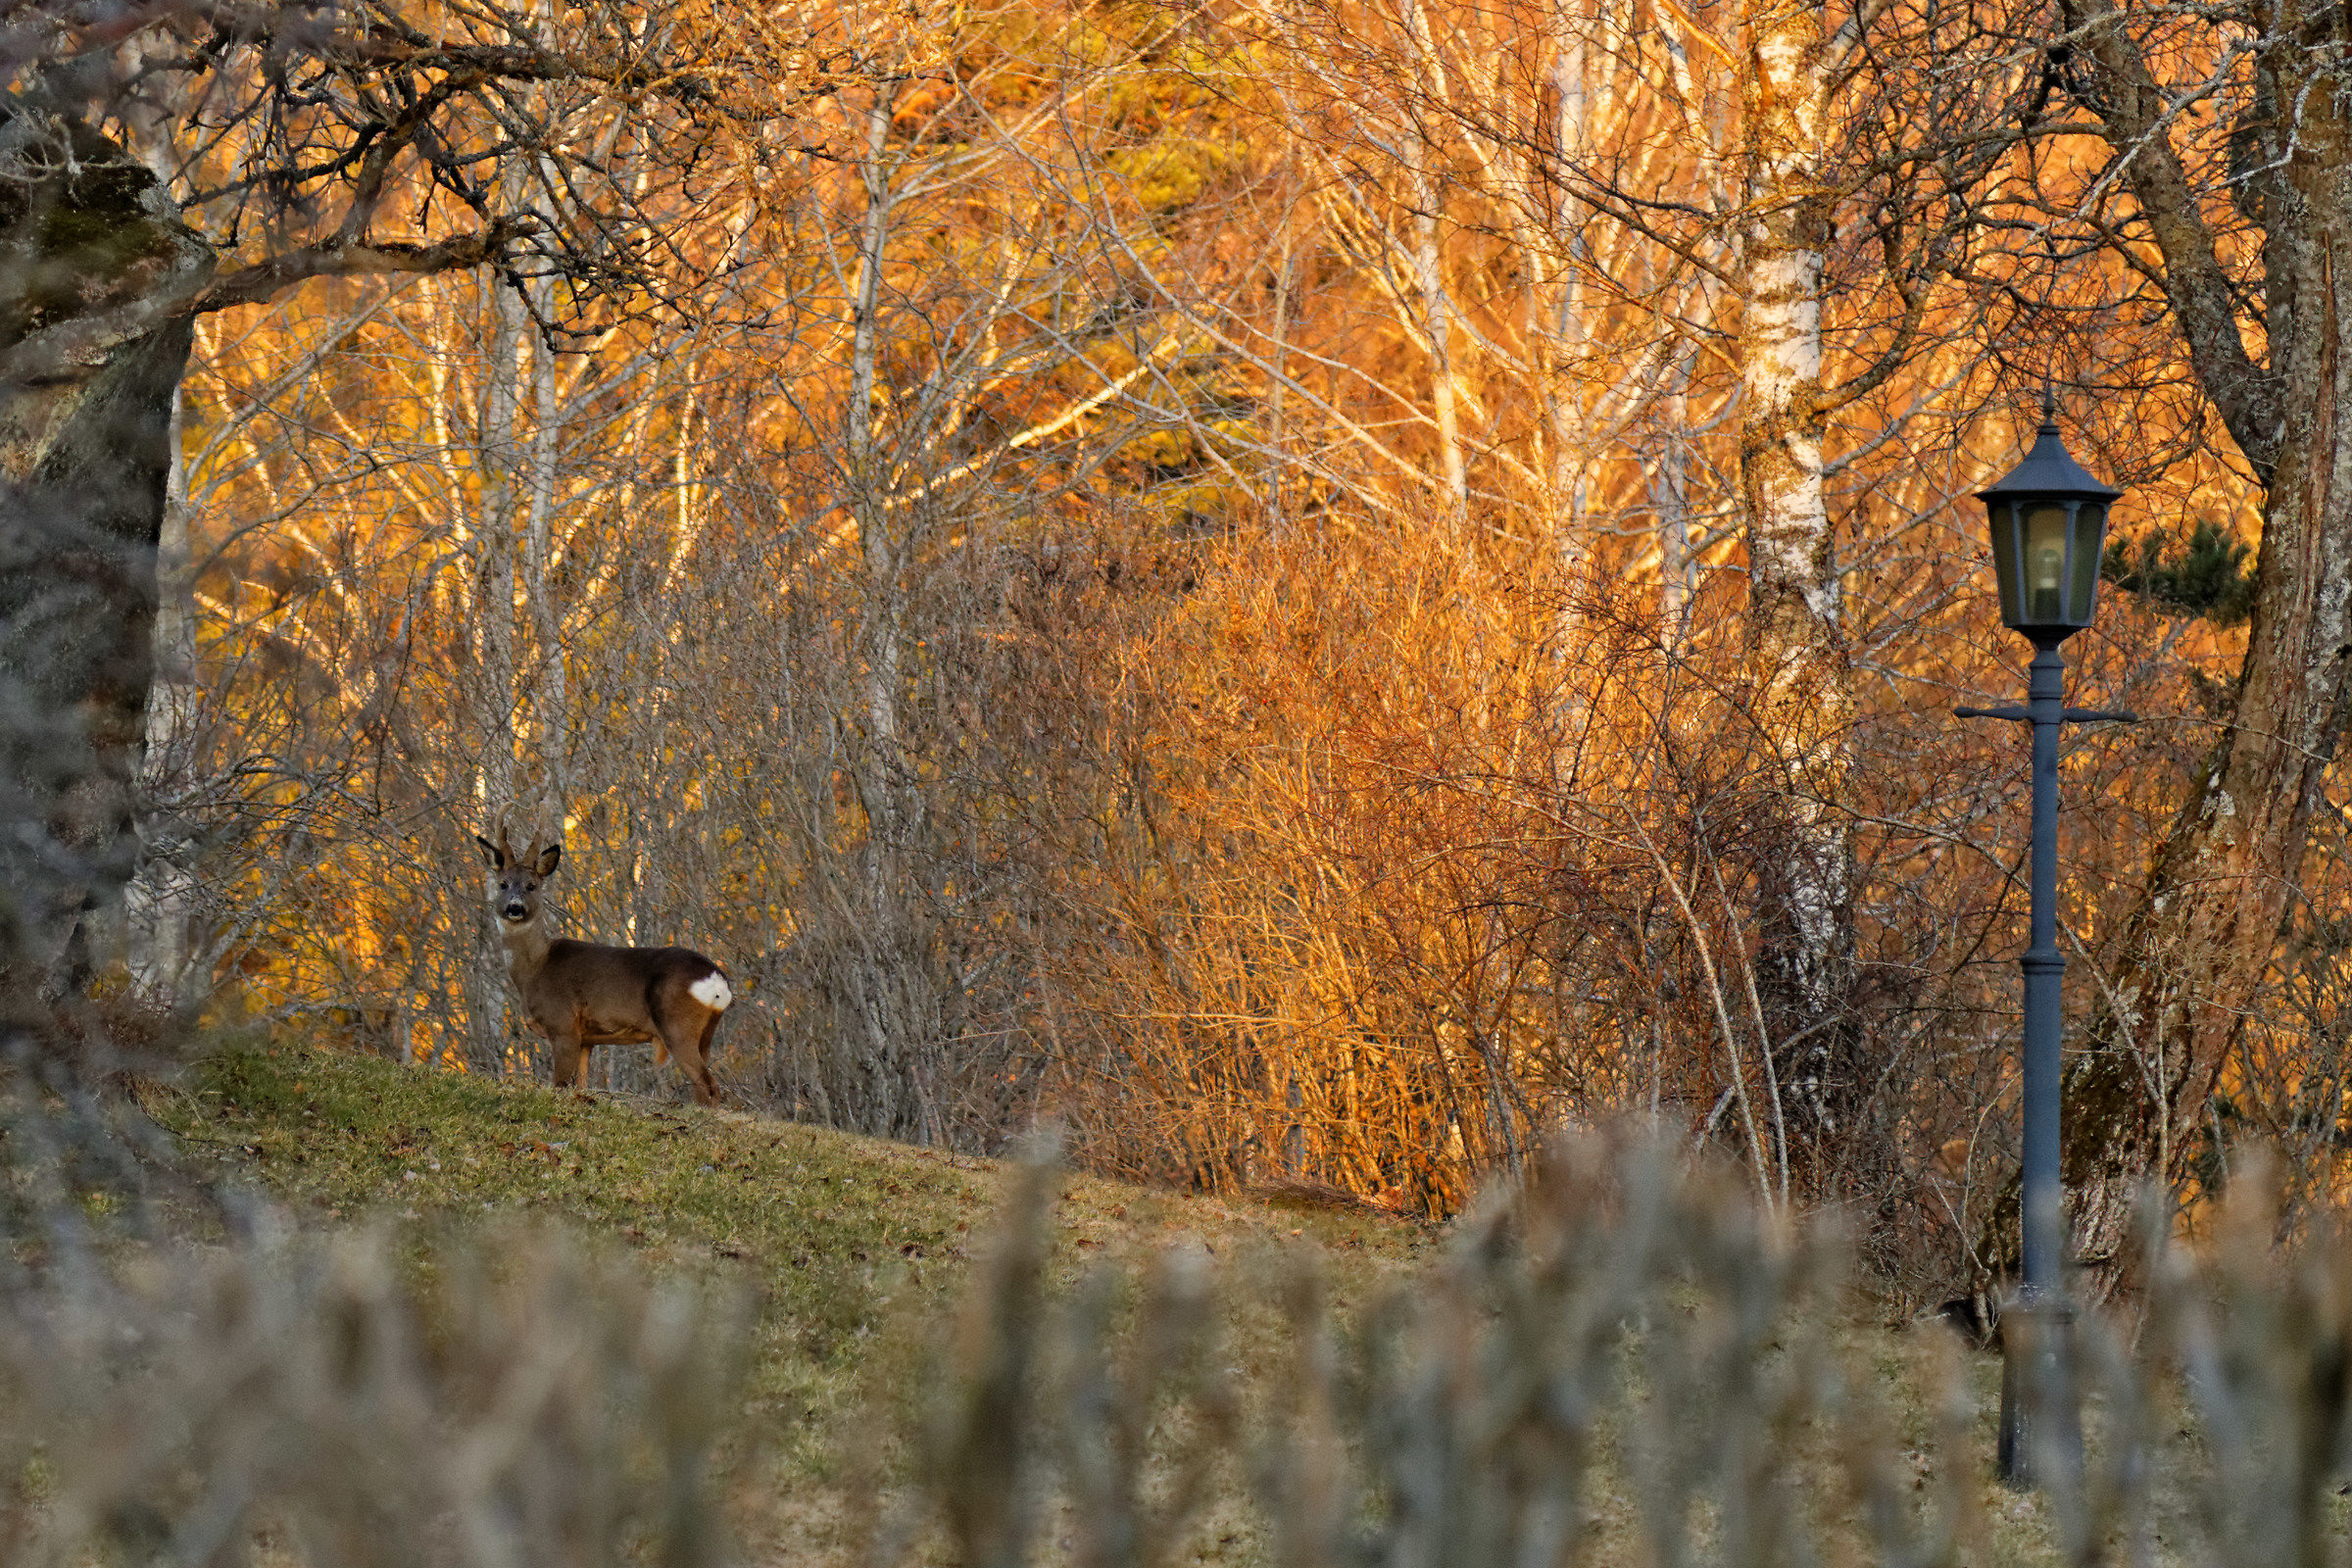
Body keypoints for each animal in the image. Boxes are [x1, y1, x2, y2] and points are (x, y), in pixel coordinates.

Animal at [475, 832, 732, 1106]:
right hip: (706, 1033)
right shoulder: (587, 1039)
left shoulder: (563, 1024)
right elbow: (581, 1085)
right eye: (503, 884)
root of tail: (717, 981)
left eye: (531, 886)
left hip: (676, 1025)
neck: (536, 968)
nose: (514, 907)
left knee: (709, 1085)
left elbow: (559, 1085)